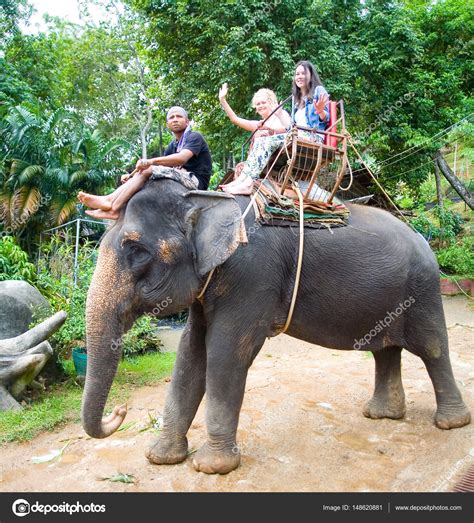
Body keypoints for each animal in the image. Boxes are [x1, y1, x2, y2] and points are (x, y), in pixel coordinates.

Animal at [81, 171, 470, 474]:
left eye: (136, 250)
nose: (120, 410)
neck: (207, 199)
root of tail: (422, 237)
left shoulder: (252, 273)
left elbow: (226, 354)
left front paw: (212, 467)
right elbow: (190, 354)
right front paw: (162, 458)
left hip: (422, 288)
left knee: (433, 347)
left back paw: (451, 422)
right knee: (384, 349)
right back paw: (382, 415)